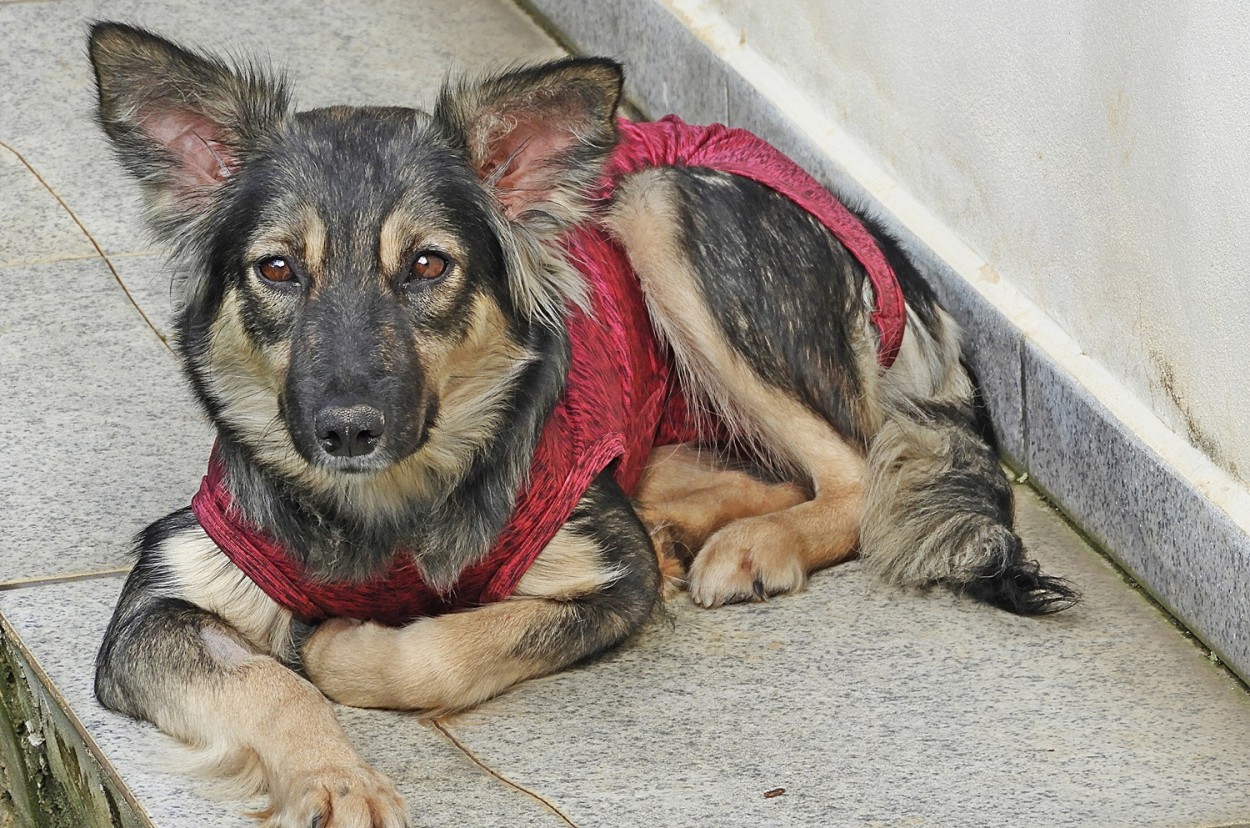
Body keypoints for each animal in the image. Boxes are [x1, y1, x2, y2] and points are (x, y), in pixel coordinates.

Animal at [92, 21, 1080, 828]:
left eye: (427, 265)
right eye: (278, 269)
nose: (346, 430)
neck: (394, 508)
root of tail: (883, 239)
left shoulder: (609, 574)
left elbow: (438, 651)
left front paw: (347, 649)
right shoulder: (159, 600)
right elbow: (267, 683)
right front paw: (334, 784)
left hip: (659, 199)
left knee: (851, 471)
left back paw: (751, 546)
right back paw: (685, 521)